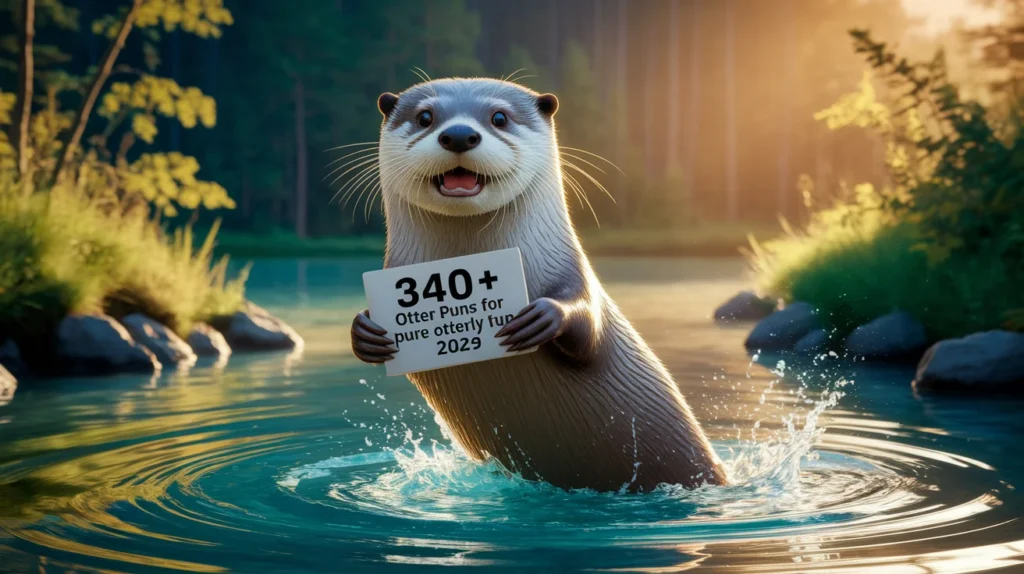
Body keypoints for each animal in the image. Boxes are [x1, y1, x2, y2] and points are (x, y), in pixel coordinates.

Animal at [350, 78, 726, 492]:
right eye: (425, 117)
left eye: (499, 117)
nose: (460, 134)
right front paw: (365, 332)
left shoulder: (574, 271)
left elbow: (588, 324)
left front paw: (543, 318)